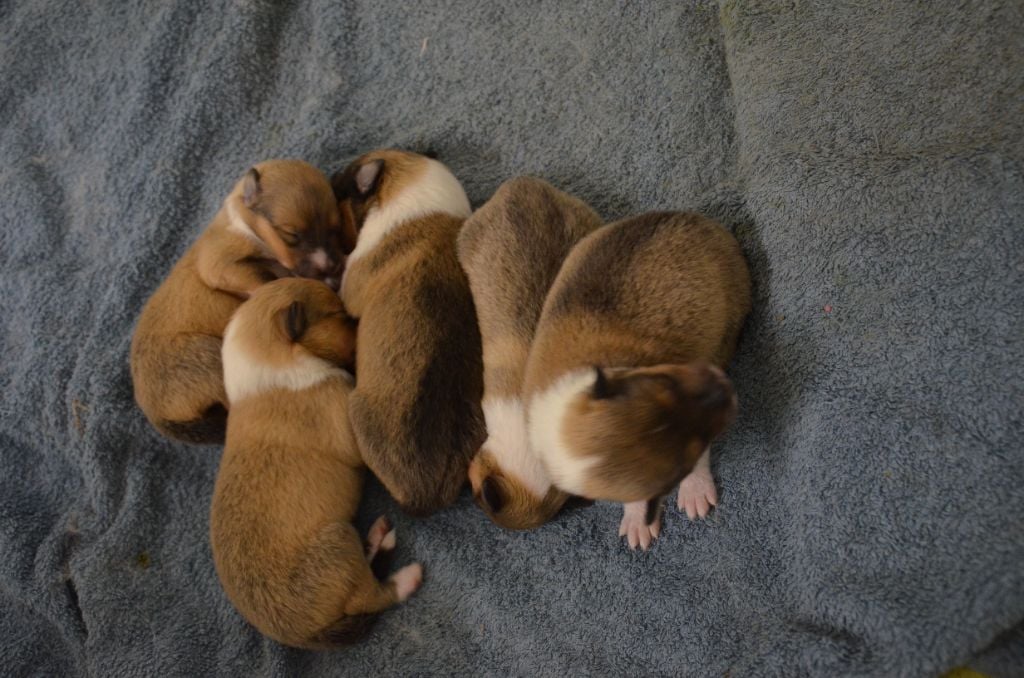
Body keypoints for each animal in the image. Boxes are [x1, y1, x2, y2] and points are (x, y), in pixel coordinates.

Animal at [130, 159, 348, 446]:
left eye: (335, 227)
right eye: (291, 234)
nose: (331, 266)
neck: (244, 223)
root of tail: (157, 417)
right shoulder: (219, 263)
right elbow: (262, 280)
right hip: (209, 358)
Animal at [207, 278, 419, 651]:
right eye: (339, 315)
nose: (362, 323)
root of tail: (305, 636)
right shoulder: (338, 412)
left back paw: (376, 538)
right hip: (337, 546)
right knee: (372, 597)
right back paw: (405, 577)